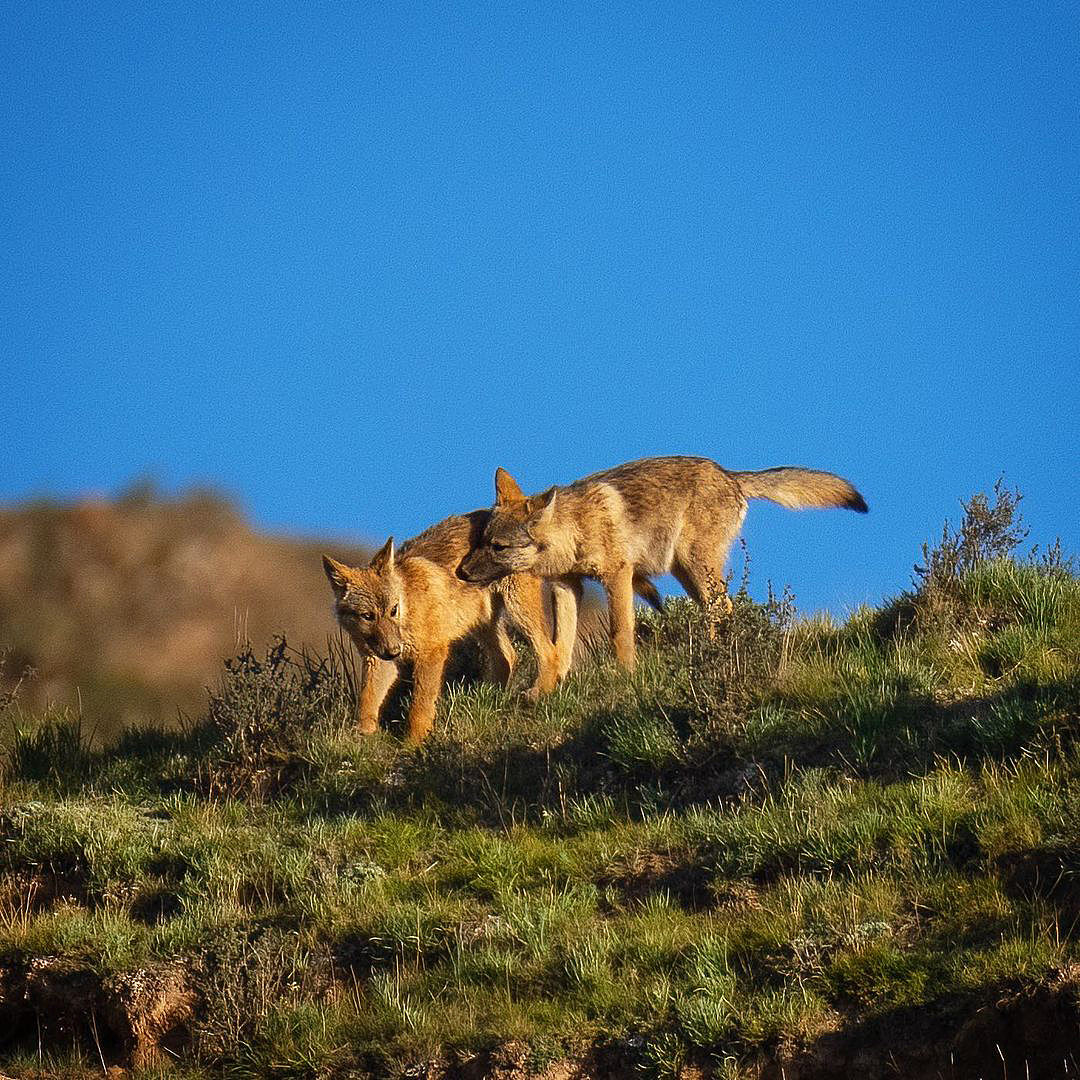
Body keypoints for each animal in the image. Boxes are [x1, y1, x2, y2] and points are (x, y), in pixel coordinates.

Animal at [457, 457, 868, 673]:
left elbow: (620, 632)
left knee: (722, 608)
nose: (461, 572)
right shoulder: (566, 586)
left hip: (696, 568)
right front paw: (547, 688)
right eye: (479, 542)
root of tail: (730, 474)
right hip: (686, 574)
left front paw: (626, 674)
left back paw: (710, 657)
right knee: (721, 609)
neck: (573, 532)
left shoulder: (618, 576)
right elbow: (563, 642)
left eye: (497, 547)